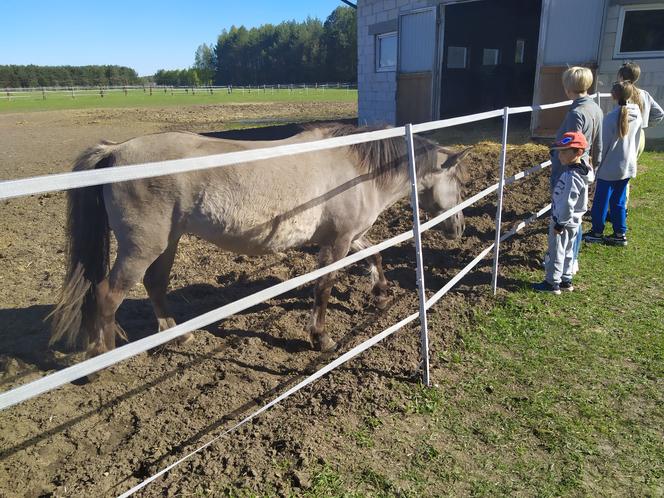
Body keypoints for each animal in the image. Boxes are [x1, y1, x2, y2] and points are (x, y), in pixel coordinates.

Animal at [49, 124, 470, 358]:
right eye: (460, 182)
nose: (460, 229)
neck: (358, 167)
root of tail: (116, 150)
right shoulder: (335, 243)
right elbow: (323, 286)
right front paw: (320, 338)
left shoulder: (350, 236)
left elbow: (376, 256)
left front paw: (381, 293)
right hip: (142, 248)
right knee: (107, 294)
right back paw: (103, 354)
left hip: (166, 243)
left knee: (155, 284)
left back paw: (175, 336)